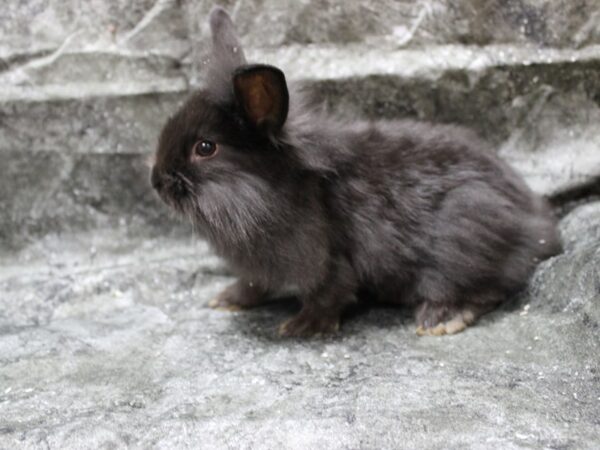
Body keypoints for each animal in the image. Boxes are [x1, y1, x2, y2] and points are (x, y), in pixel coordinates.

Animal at [150, 7, 564, 338]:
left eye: (206, 148)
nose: (156, 182)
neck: (274, 190)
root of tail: (539, 226)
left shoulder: (329, 260)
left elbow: (329, 294)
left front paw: (300, 327)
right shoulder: (258, 267)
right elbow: (253, 285)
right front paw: (226, 300)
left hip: (467, 231)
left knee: (486, 286)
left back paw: (440, 319)